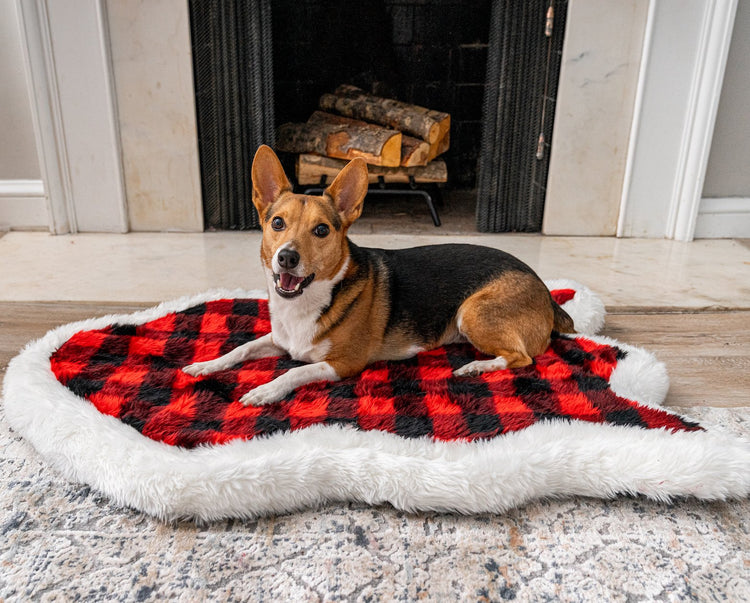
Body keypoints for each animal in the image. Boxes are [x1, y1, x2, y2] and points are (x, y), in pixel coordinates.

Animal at [185, 145, 580, 406]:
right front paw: (206, 365)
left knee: (522, 358)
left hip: (472, 312)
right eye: (277, 223)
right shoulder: (280, 341)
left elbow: (294, 371)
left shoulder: (342, 364)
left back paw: (474, 367)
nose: (287, 258)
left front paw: (265, 390)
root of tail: (545, 291)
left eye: (322, 230)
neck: (309, 301)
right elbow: (242, 348)